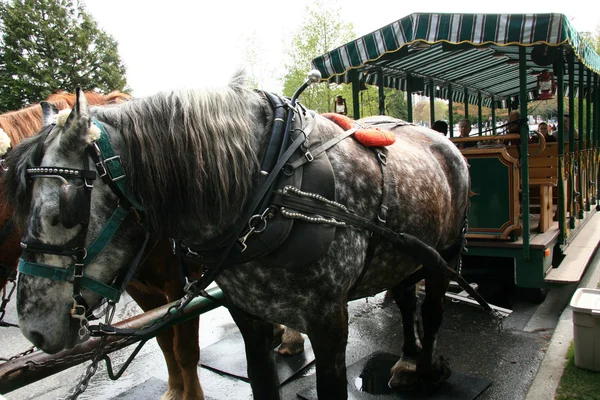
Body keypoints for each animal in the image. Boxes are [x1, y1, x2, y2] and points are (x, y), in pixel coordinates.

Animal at [3, 72, 474, 400]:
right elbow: (255, 379)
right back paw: (408, 358)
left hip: (445, 252)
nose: (33, 330)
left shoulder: (329, 322)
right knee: (405, 296)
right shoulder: (247, 316)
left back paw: (424, 368)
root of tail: (440, 139)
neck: (272, 184)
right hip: (405, 253)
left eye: (63, 211)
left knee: (432, 310)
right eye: (17, 208)